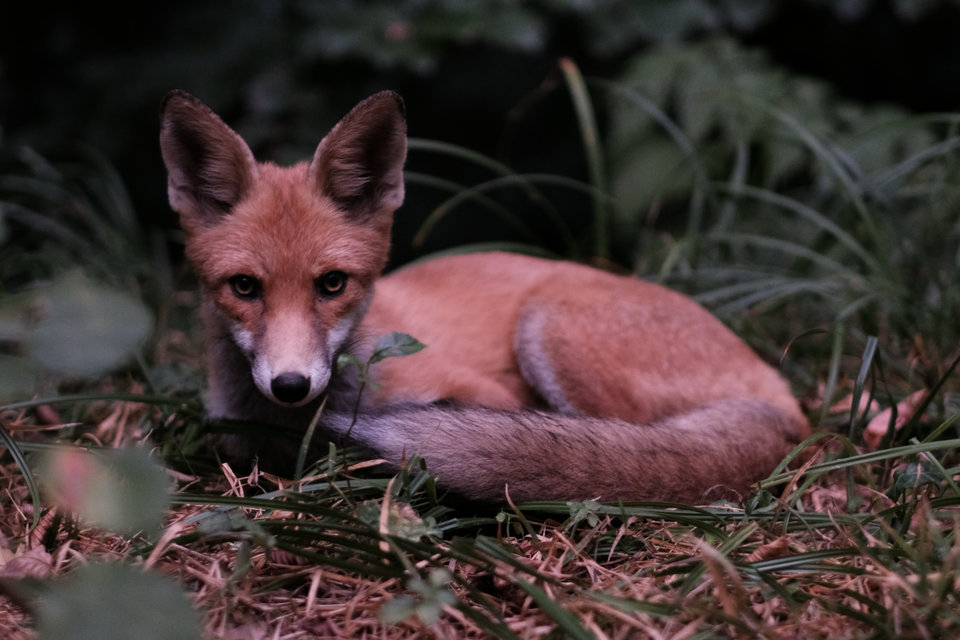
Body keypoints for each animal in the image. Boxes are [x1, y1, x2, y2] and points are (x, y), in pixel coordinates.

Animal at [159, 89, 810, 504]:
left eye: (332, 284)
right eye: (245, 286)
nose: (292, 385)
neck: (284, 423)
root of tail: (782, 394)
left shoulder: (485, 392)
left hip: (550, 326)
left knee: (617, 448)